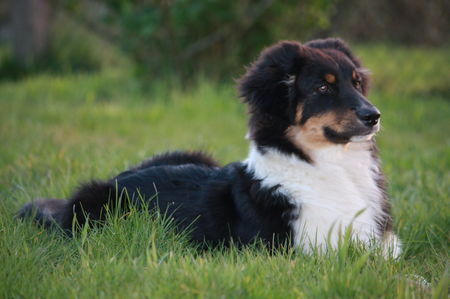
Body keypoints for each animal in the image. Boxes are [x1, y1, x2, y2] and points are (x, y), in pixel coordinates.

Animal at [19, 37, 402, 258]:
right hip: (94, 204)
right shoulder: (310, 249)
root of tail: (116, 177)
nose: (374, 116)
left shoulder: (383, 244)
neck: (331, 165)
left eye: (357, 83)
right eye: (324, 88)